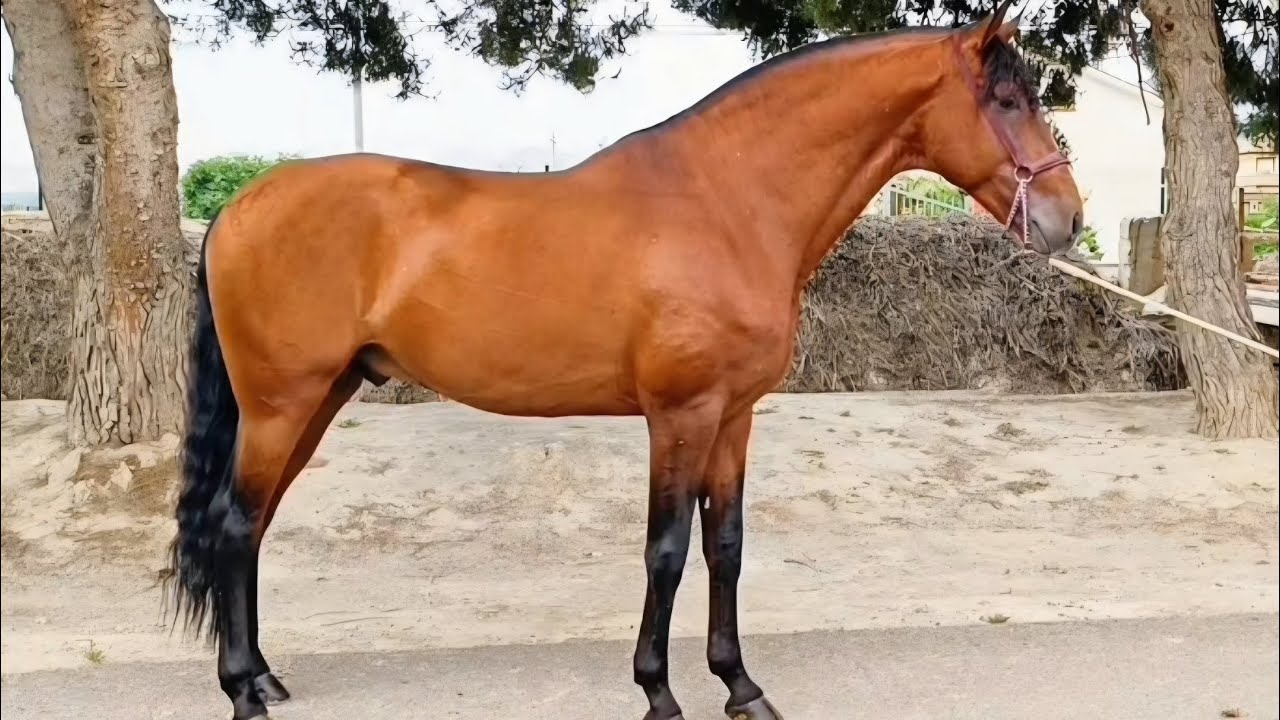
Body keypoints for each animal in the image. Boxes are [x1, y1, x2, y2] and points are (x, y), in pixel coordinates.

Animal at [166, 4, 1083, 718]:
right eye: (1007, 99)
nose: (1067, 218)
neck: (723, 203)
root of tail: (238, 209)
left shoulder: (734, 417)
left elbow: (726, 546)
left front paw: (740, 686)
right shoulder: (680, 415)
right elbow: (666, 550)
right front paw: (659, 691)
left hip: (315, 400)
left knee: (248, 531)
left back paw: (264, 678)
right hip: (283, 404)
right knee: (236, 526)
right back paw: (242, 691)